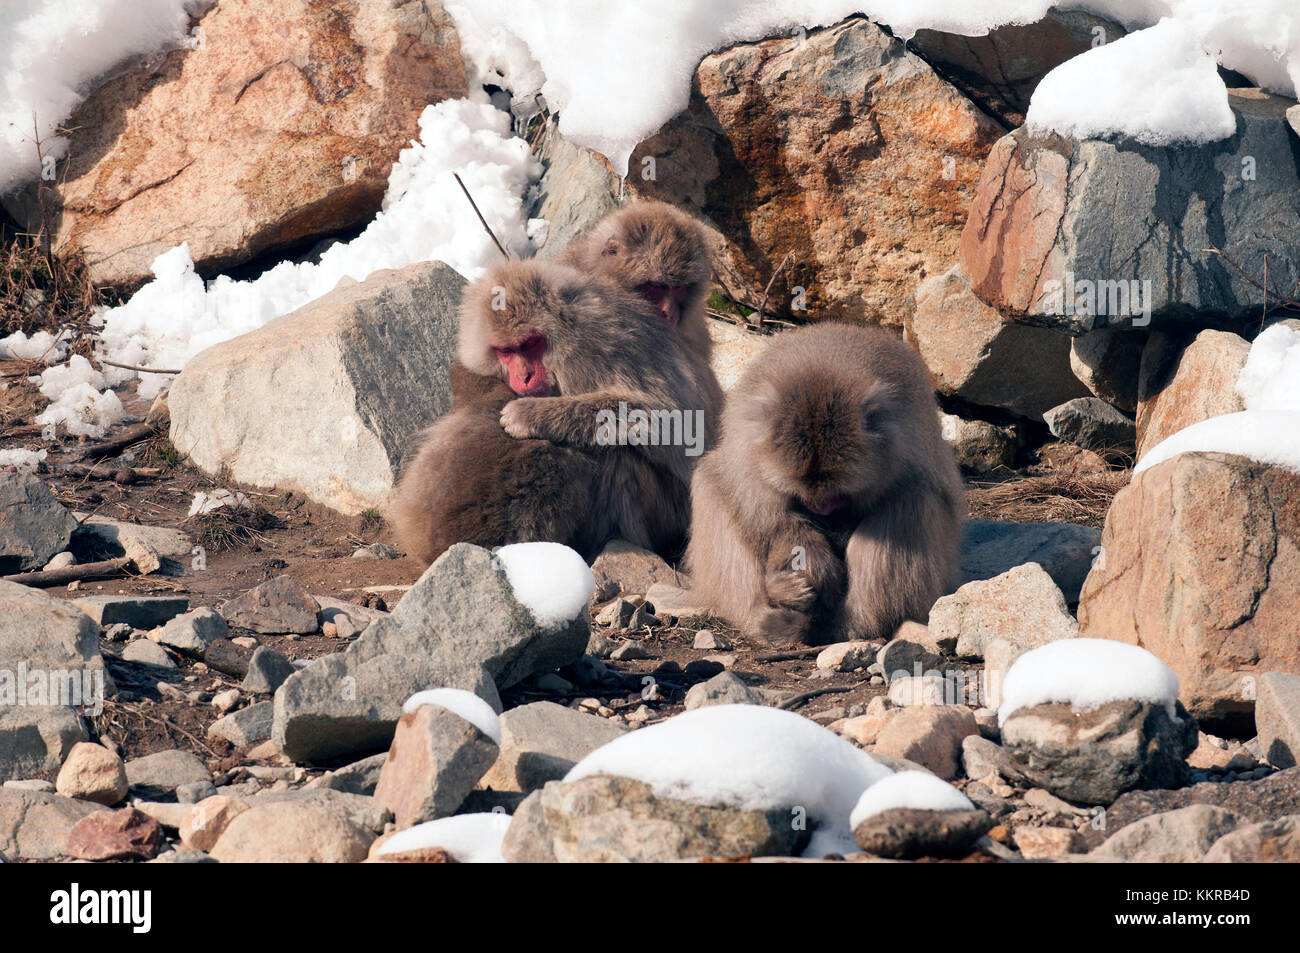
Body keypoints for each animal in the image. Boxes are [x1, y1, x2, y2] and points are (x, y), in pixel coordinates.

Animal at [686, 321, 961, 647]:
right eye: (801, 495)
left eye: (837, 495)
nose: (821, 508)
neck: (821, 372)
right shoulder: (748, 445)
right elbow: (762, 512)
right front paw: (812, 564)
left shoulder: (907, 443)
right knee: (709, 483)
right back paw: (770, 609)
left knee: (912, 501)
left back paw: (851, 624)